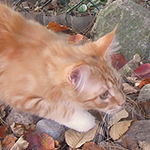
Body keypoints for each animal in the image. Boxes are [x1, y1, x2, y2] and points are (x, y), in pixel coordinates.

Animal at [0, 3, 125, 132]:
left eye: (119, 82)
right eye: (104, 95)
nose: (123, 102)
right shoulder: (16, 96)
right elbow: (51, 108)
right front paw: (83, 120)